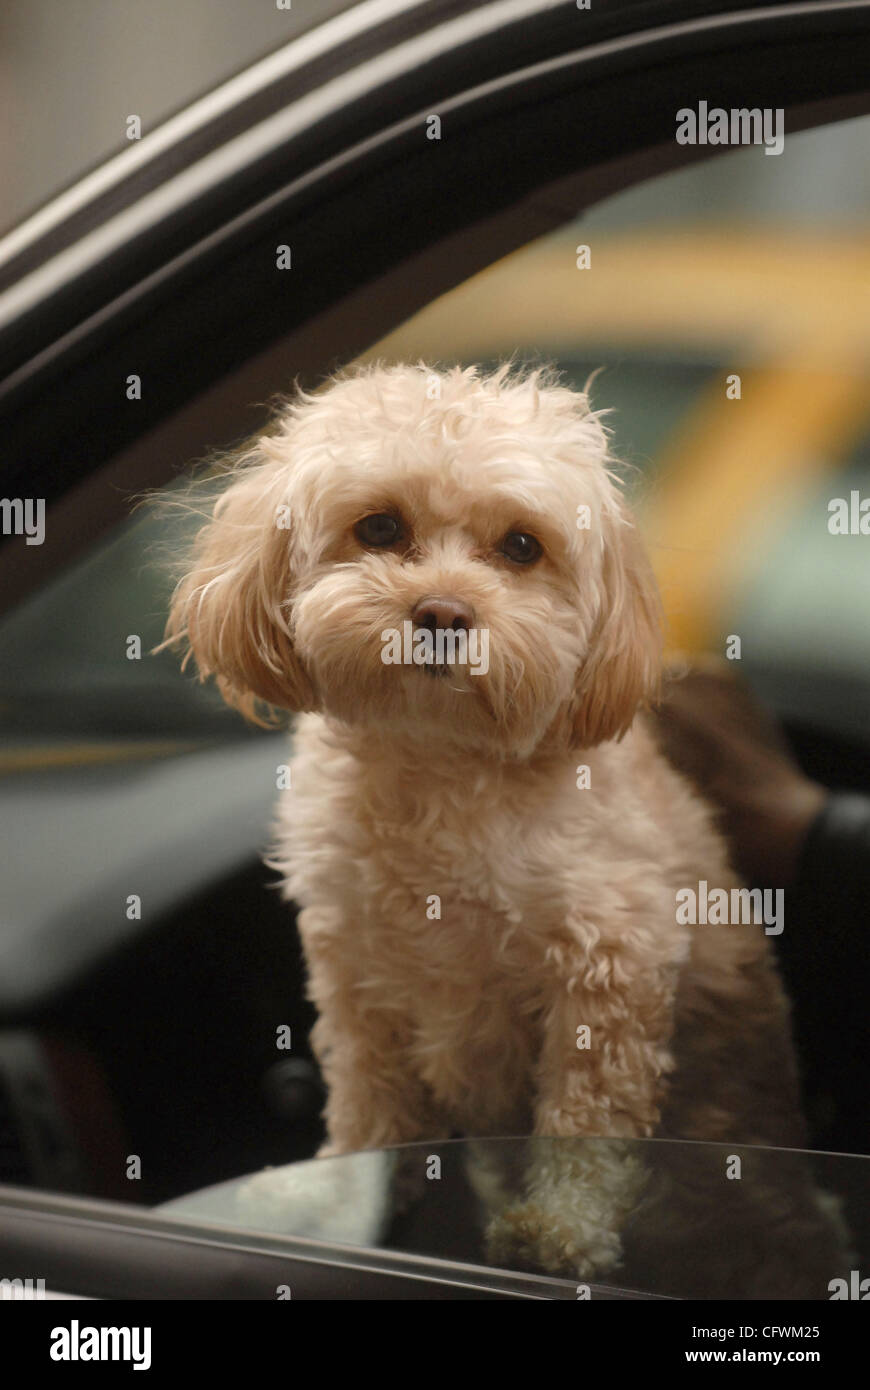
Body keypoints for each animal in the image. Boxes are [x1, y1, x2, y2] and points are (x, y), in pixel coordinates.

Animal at [162, 361, 839, 1289]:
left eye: (522, 546)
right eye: (380, 527)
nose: (443, 613)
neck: (440, 766)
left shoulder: (611, 962)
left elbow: (586, 1114)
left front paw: (558, 1228)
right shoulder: (355, 967)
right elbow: (369, 1095)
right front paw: (340, 1194)